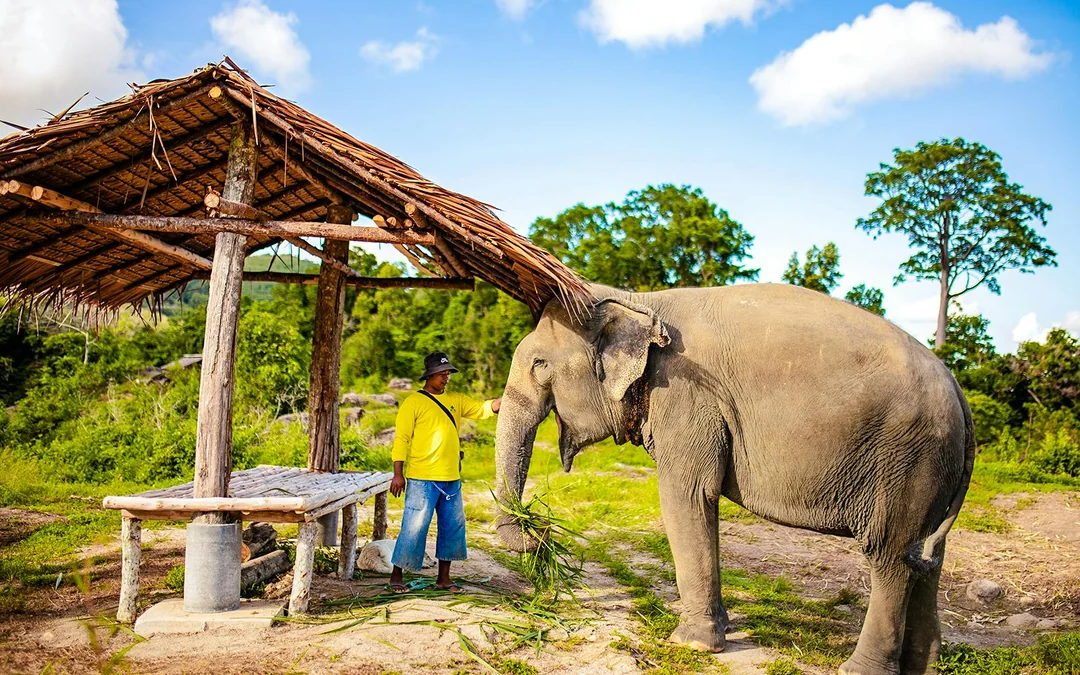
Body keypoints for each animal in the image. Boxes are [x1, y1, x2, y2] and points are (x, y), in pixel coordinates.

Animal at [493, 283, 974, 675]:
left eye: (539, 364)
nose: (540, 534)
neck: (639, 301)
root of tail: (957, 390)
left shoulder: (686, 395)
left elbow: (687, 496)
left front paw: (692, 644)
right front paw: (719, 628)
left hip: (908, 460)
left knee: (889, 556)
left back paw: (860, 669)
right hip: (932, 469)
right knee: (924, 558)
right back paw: (924, 667)